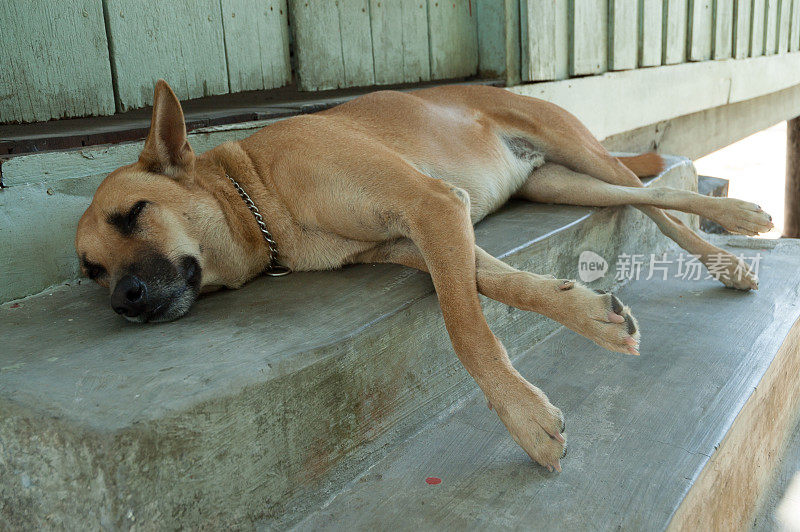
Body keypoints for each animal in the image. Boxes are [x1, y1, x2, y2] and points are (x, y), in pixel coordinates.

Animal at [76, 79, 776, 470]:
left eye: (134, 213)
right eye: (90, 271)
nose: (124, 301)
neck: (259, 194)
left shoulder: (432, 204)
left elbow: (465, 327)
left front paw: (525, 421)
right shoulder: (423, 234)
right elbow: (498, 285)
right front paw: (588, 314)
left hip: (582, 152)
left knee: (662, 199)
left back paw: (735, 233)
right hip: (560, 183)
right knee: (643, 198)